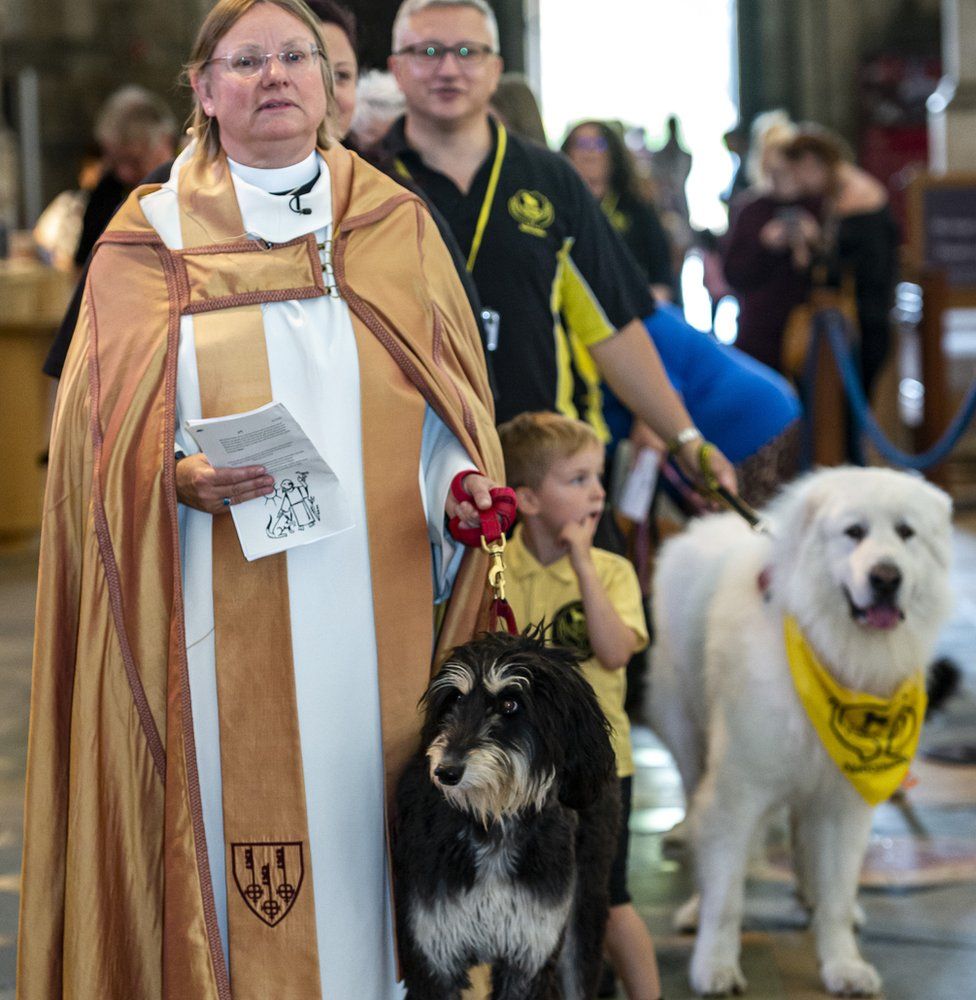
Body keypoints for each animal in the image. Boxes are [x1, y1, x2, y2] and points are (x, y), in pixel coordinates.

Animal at [390, 632, 612, 1000]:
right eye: (455, 699)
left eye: (510, 705)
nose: (445, 772)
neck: (491, 822)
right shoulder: (434, 958)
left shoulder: (529, 957)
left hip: (583, 914)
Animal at [648, 470, 952, 1000]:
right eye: (854, 532)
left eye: (906, 533)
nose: (886, 577)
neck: (831, 647)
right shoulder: (738, 790)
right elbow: (725, 894)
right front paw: (715, 965)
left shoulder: (843, 798)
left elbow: (837, 892)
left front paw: (842, 963)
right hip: (689, 740)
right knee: (701, 823)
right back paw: (694, 907)